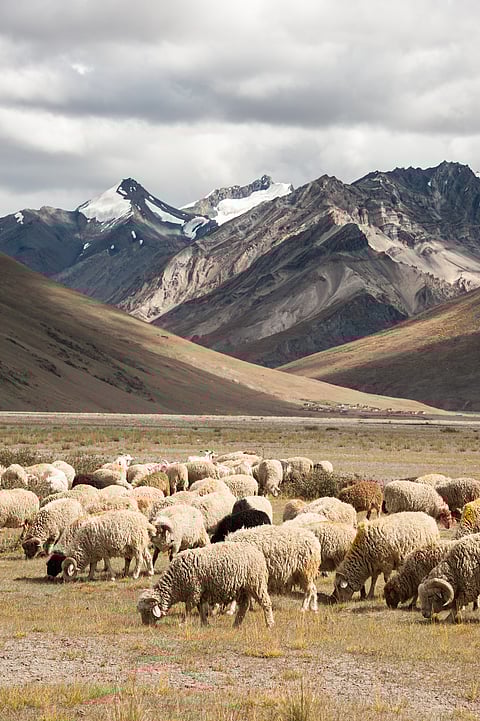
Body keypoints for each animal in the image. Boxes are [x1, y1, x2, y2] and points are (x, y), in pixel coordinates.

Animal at [137, 542, 274, 628]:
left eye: (147, 611)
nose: (145, 625)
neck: (175, 583)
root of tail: (257, 552)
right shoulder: (201, 592)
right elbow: (201, 608)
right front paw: (204, 623)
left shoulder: (194, 590)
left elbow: (188, 608)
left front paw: (183, 623)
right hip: (242, 588)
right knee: (244, 606)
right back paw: (236, 624)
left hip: (256, 583)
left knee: (266, 603)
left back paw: (269, 624)